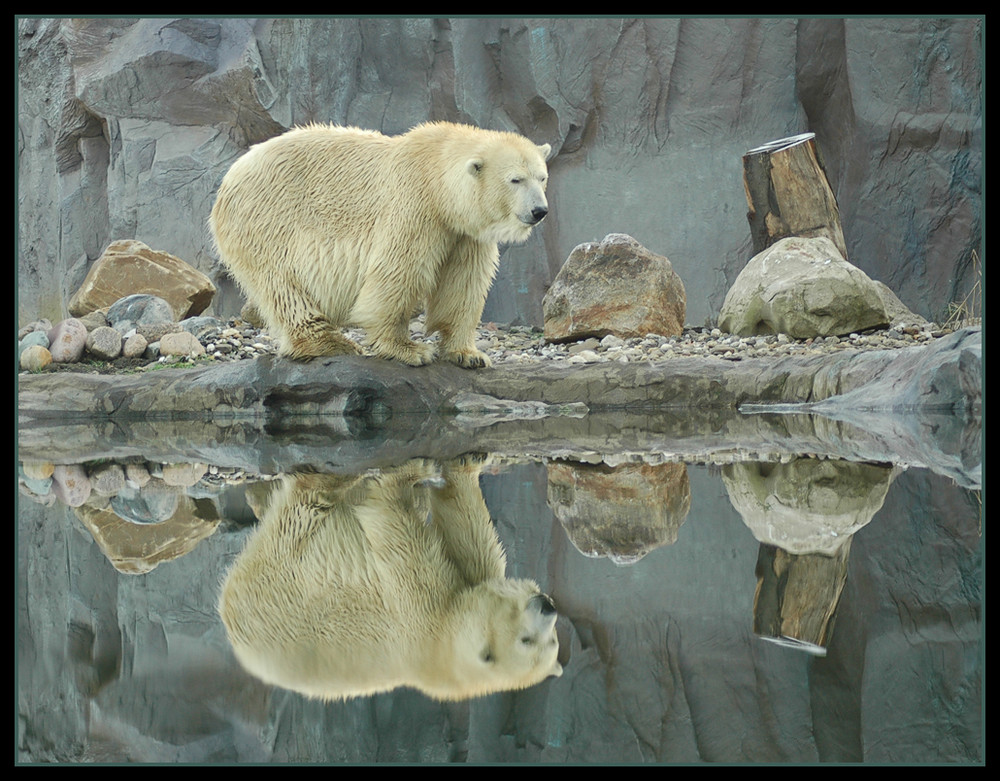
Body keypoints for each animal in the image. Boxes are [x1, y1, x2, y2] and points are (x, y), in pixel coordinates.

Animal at [208, 120, 552, 368]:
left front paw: (469, 354)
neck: (437, 179)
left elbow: (463, 283)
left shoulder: (464, 233)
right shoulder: (415, 207)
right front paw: (410, 350)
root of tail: (230, 176)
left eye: (542, 177)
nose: (539, 211)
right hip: (267, 221)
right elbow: (397, 273)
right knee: (283, 285)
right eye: (515, 179)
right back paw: (332, 343)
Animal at [219, 458, 564, 700]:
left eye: (549, 641)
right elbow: (462, 535)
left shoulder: (421, 613)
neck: (444, 648)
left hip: (278, 572)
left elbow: (408, 530)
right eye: (527, 639)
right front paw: (447, 466)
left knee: (302, 512)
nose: (548, 605)